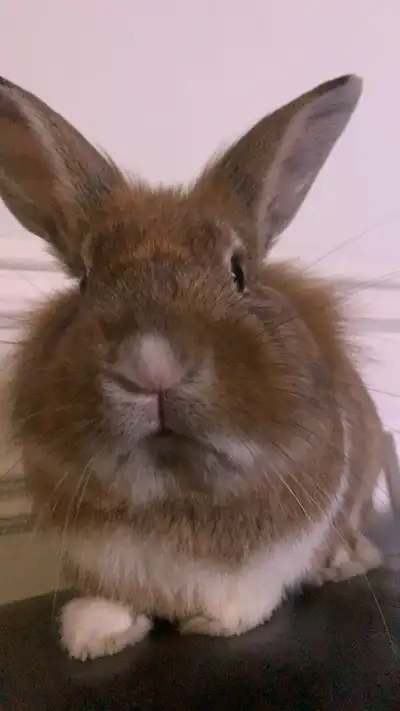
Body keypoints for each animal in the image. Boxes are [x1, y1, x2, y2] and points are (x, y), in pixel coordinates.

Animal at [0, 74, 384, 661]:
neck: (173, 490)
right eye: (85, 280)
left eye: (238, 271)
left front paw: (215, 623)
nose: (152, 364)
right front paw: (95, 635)